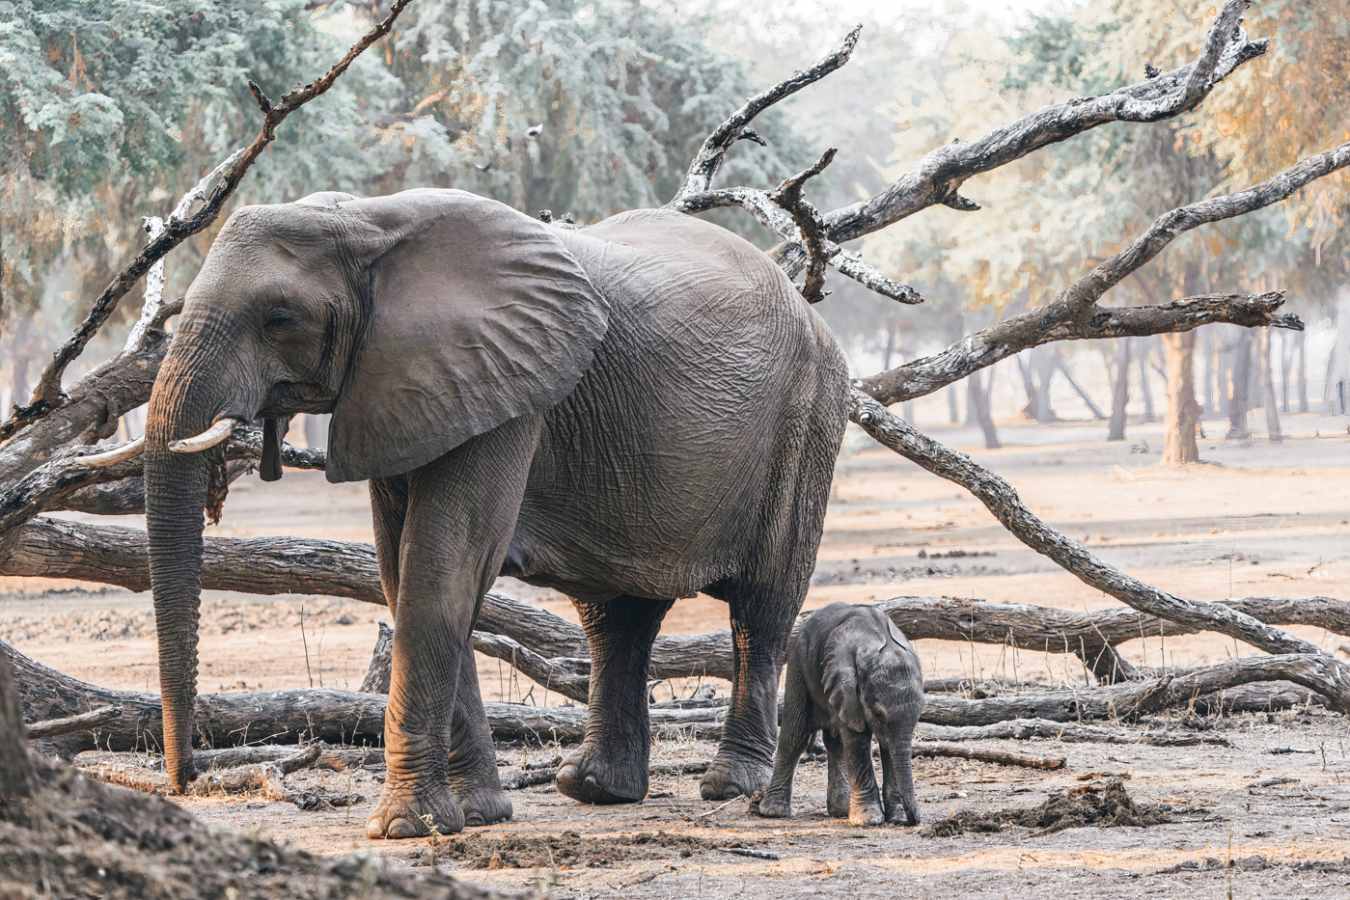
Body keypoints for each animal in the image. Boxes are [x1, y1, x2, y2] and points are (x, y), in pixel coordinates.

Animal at [139, 188, 849, 839]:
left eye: (280, 318)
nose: (189, 778)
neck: (368, 219)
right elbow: (402, 574)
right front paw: (476, 816)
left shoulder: (505, 386)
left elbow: (443, 568)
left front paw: (405, 827)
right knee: (616, 617)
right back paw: (593, 787)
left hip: (807, 420)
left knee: (760, 609)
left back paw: (730, 786)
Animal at [750, 602, 924, 826]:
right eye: (878, 713)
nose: (913, 820)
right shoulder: (847, 688)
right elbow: (858, 741)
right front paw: (868, 820)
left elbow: (887, 747)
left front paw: (897, 818)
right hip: (799, 663)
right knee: (795, 734)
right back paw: (774, 812)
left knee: (835, 742)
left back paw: (841, 811)